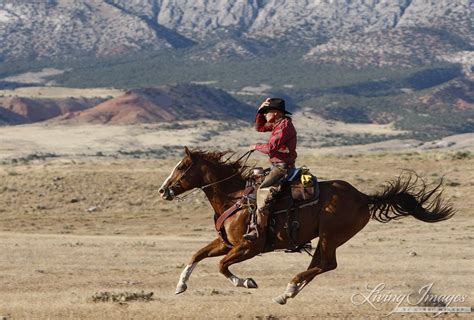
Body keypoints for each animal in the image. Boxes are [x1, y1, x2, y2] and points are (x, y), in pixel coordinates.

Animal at [160, 146, 456, 304]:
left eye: (183, 166)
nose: (164, 190)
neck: (235, 198)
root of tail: (363, 197)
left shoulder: (248, 247)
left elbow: (222, 267)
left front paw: (246, 282)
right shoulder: (226, 243)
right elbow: (195, 255)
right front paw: (180, 286)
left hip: (330, 236)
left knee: (327, 264)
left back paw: (290, 287)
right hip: (326, 239)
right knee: (319, 264)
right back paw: (288, 293)